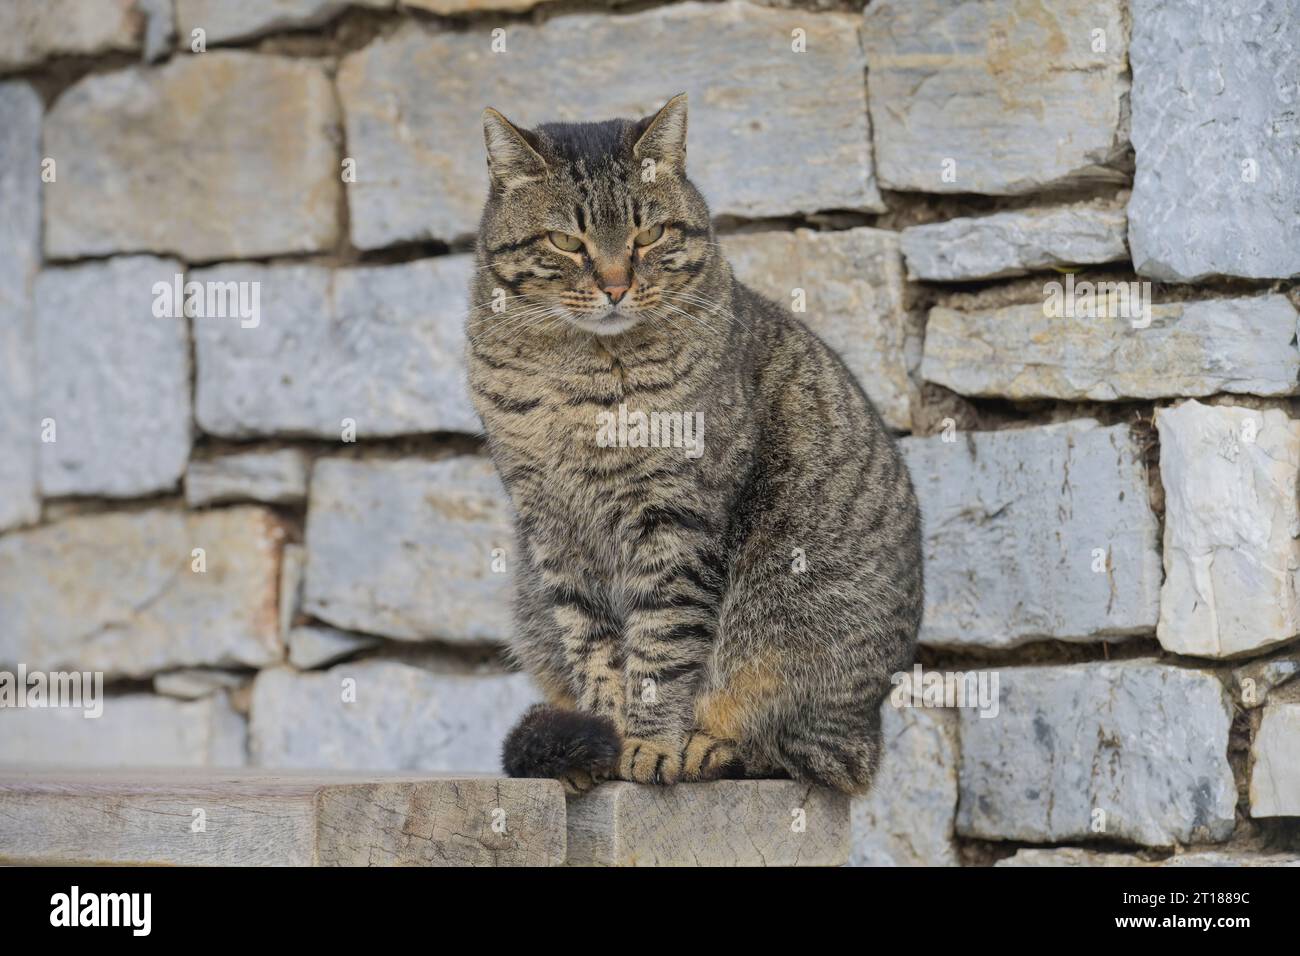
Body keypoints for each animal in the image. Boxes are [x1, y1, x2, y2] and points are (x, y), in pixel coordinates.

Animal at [467, 95, 925, 790]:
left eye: (648, 235)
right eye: (566, 241)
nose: (615, 285)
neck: (577, 380)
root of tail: (869, 726)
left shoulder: (676, 515)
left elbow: (662, 646)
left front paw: (651, 744)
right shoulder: (550, 524)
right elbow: (592, 643)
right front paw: (605, 733)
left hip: (793, 645)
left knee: (801, 755)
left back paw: (708, 747)